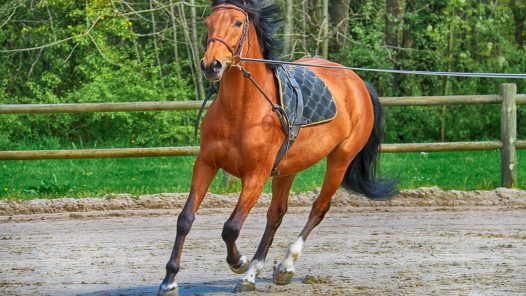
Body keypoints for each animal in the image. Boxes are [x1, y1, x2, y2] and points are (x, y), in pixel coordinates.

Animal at [159, 0, 398, 294]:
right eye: (208, 22)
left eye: (238, 22)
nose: (211, 65)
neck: (242, 111)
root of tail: (356, 82)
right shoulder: (206, 163)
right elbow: (185, 219)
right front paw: (169, 280)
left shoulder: (256, 174)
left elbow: (231, 227)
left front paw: (238, 262)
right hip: (288, 168)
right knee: (276, 215)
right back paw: (255, 273)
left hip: (340, 160)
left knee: (318, 208)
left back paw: (284, 266)